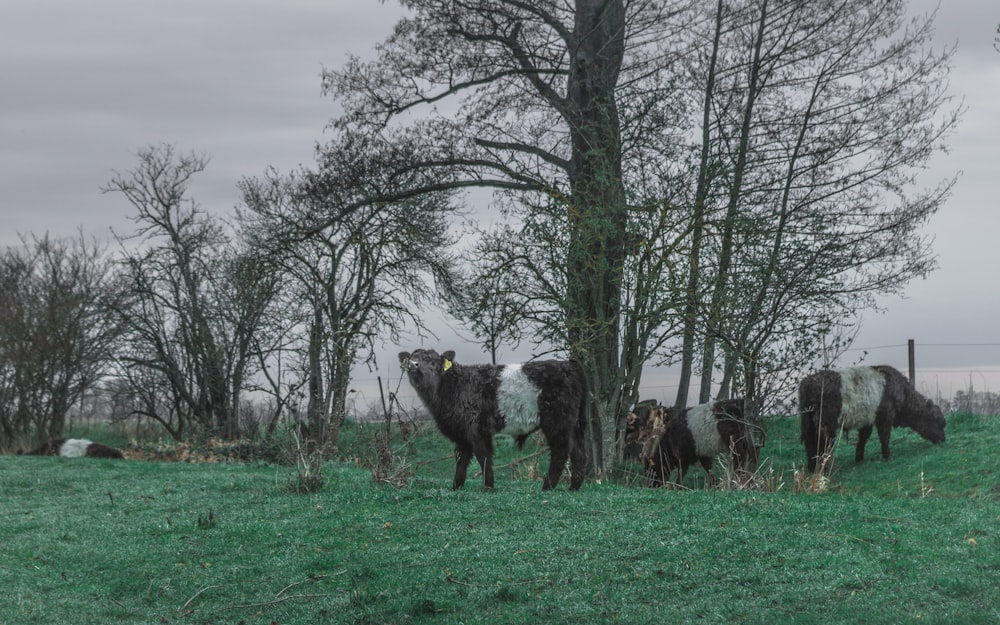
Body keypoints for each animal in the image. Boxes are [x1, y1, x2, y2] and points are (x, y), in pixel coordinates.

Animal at [398, 348, 588, 490]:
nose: (413, 365)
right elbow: (461, 459)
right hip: (571, 423)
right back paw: (574, 487)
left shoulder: (478, 428)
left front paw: (488, 486)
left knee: (560, 451)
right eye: (412, 358)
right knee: (578, 451)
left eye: (432, 361)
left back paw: (547, 486)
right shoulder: (462, 433)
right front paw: (456, 487)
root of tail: (567, 364)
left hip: (557, 421)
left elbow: (483, 456)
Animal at [796, 364, 944, 470]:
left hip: (807, 423)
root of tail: (809, 382)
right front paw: (887, 456)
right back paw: (824, 468)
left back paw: (812, 468)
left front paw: (859, 458)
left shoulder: (867, 420)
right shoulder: (885, 416)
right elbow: (884, 437)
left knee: (810, 443)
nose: (943, 439)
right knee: (822, 442)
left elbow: (863, 439)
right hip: (825, 423)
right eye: (938, 422)